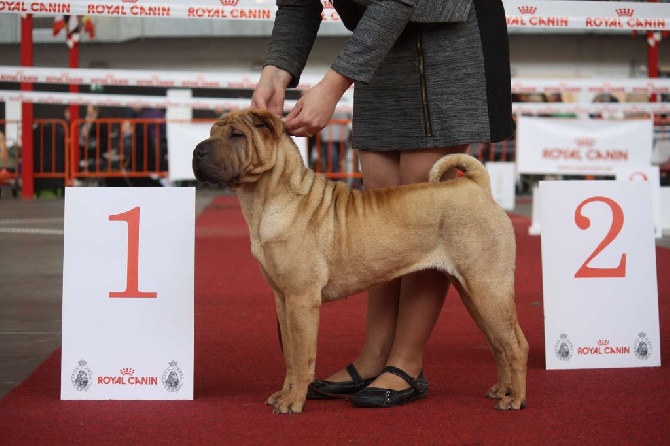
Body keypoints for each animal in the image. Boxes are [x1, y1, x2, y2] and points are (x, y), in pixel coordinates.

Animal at [192, 109, 528, 414]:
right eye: (211, 131)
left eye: (237, 135)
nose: (197, 150)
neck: (265, 197)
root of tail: (476, 186)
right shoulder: (283, 299)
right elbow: (289, 356)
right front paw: (283, 394)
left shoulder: (301, 300)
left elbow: (302, 358)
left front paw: (293, 401)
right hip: (473, 292)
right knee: (499, 343)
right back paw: (502, 389)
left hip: (488, 286)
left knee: (516, 345)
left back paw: (515, 399)